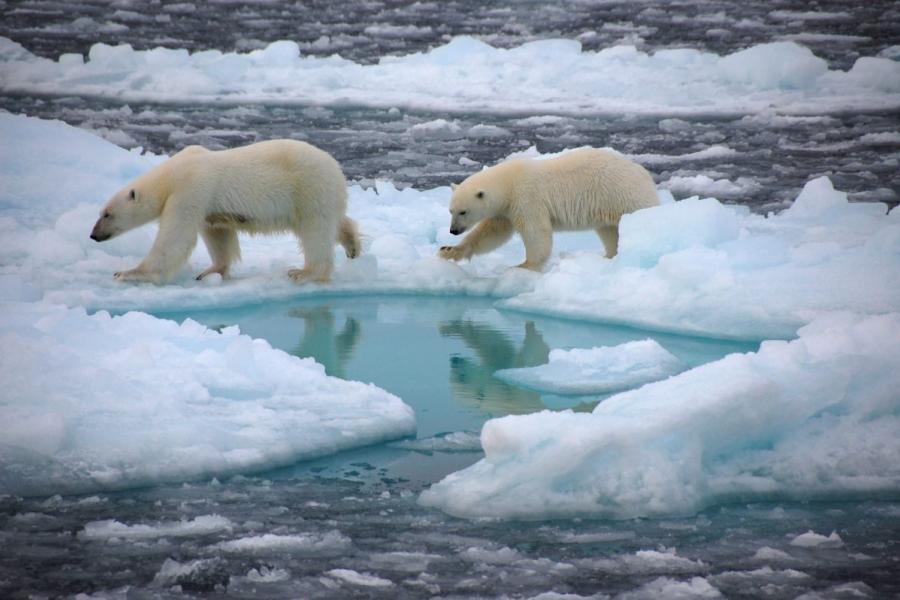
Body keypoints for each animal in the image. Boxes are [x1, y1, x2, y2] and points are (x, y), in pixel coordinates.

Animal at [90, 139, 360, 284]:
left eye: (107, 214)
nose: (93, 235)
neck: (172, 174)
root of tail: (336, 167)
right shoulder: (207, 205)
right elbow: (218, 234)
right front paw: (210, 272)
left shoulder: (191, 189)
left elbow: (175, 237)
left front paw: (128, 273)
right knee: (335, 222)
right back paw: (353, 245)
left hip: (309, 188)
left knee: (316, 232)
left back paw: (304, 272)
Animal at [439, 147, 658, 270]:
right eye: (451, 211)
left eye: (463, 211)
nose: (453, 230)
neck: (509, 183)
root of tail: (644, 174)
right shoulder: (505, 210)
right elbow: (491, 233)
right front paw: (449, 251)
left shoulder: (527, 198)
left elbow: (536, 232)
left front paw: (524, 265)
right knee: (609, 232)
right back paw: (610, 256)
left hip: (625, 197)